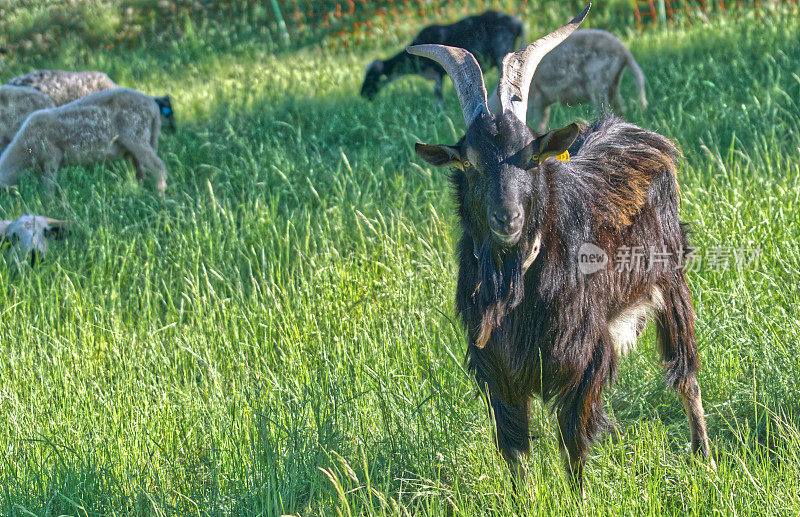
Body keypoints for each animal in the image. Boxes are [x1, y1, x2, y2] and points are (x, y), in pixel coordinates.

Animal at [0, 87, 166, 195]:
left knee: (158, 166)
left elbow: (49, 183)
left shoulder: (52, 155)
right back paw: (140, 191)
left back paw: (159, 195)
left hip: (136, 135)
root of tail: (153, 106)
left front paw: (49, 203)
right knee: (141, 169)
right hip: (134, 145)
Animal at [358, 10, 520, 101]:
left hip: (501, 52)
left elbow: (438, 98)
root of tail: (517, 23)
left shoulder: (437, 74)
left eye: (372, 76)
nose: (363, 94)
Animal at [484, 28, 648, 133]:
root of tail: (624, 53)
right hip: (613, 84)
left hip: (598, 82)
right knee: (620, 110)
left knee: (605, 110)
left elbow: (539, 125)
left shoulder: (536, 99)